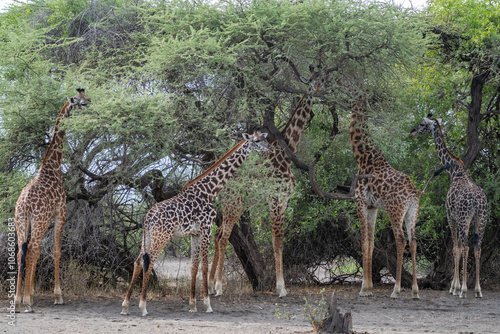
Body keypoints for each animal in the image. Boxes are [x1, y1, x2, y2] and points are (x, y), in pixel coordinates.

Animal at [14, 88, 91, 314]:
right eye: (82, 102)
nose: (91, 105)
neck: (52, 166)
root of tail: (25, 204)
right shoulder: (60, 211)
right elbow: (56, 251)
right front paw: (58, 296)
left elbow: (41, 252)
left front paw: (30, 295)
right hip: (39, 221)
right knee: (31, 249)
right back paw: (26, 303)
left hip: (21, 221)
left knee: (22, 251)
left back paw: (17, 302)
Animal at [121, 128, 274, 316]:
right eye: (257, 141)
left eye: (265, 138)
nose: (271, 148)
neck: (210, 191)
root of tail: (148, 216)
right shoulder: (206, 229)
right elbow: (204, 267)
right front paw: (207, 304)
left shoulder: (194, 233)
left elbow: (194, 267)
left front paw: (192, 305)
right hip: (161, 237)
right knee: (148, 264)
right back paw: (143, 307)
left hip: (148, 236)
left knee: (137, 262)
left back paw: (125, 306)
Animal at [208, 66, 322, 296]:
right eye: (310, 81)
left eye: (321, 78)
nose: (317, 89)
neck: (286, 155)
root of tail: (223, 188)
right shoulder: (275, 200)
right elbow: (276, 242)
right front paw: (281, 288)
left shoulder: (284, 200)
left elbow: (280, 243)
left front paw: (281, 286)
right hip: (233, 205)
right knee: (223, 238)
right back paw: (218, 287)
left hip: (238, 206)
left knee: (218, 236)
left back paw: (209, 283)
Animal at [350, 100, 420, 298]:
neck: (362, 156)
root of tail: (414, 191)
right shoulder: (372, 207)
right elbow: (371, 243)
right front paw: (369, 286)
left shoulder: (360, 202)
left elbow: (364, 242)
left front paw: (364, 289)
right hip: (412, 212)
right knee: (413, 241)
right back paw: (415, 290)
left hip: (394, 210)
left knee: (401, 240)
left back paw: (396, 289)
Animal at [408, 115, 486, 298]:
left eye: (422, 124)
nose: (411, 133)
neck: (454, 172)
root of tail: (477, 201)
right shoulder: (458, 219)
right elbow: (458, 249)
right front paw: (455, 286)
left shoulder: (451, 217)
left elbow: (456, 249)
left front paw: (454, 288)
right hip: (481, 221)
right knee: (477, 248)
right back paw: (478, 290)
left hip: (465, 221)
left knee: (466, 247)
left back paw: (464, 290)